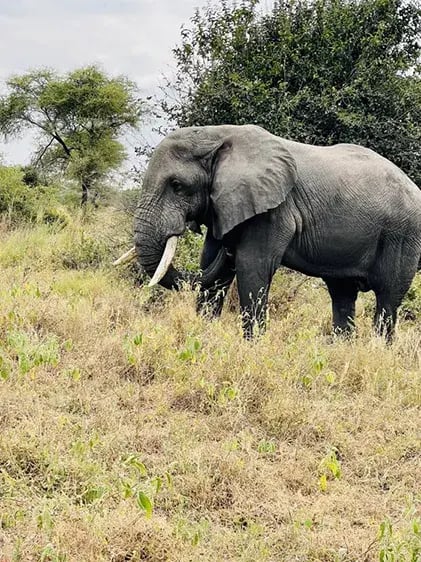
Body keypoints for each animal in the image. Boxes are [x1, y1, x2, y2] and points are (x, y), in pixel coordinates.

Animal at [127, 124, 420, 340]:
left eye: (177, 185)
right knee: (342, 294)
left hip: (403, 234)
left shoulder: (274, 211)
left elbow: (251, 267)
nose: (229, 247)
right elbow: (212, 268)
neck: (218, 135)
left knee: (387, 298)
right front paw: (202, 338)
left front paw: (251, 348)